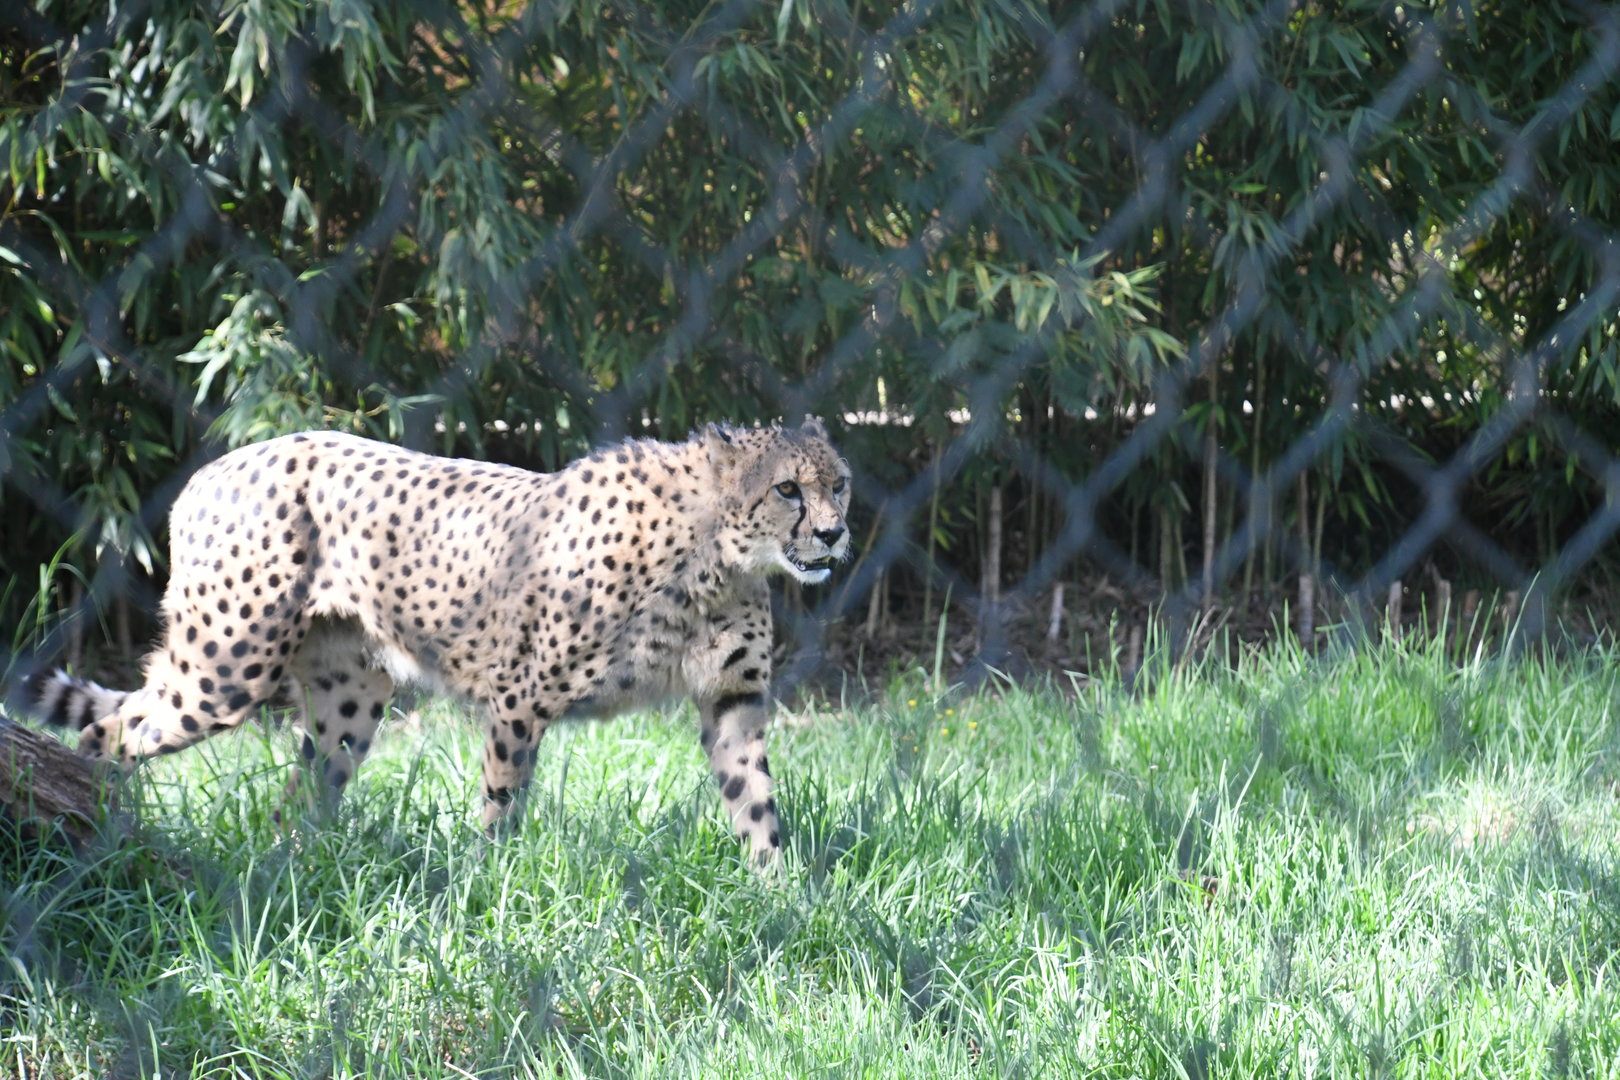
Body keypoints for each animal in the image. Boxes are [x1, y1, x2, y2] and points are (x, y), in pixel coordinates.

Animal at [24, 418, 851, 867]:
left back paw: (294, 872)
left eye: (837, 482)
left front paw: (780, 895)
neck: (718, 555)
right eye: (787, 489)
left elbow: (757, 802)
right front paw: (491, 883)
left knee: (301, 791)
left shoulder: (733, 699)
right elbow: (501, 800)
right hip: (226, 667)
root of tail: (217, 467)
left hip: (350, 695)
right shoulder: (520, 695)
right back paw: (101, 835)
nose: (836, 533)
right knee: (109, 731)